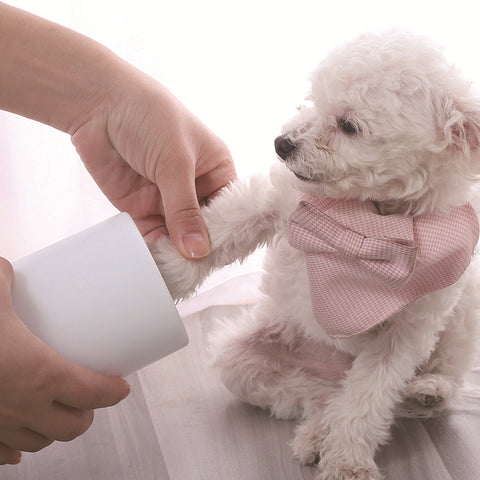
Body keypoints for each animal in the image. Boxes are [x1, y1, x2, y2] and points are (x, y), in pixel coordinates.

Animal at [152, 31, 480, 480]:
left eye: (349, 126)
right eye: (312, 99)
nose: (281, 143)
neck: (370, 221)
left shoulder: (408, 329)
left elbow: (367, 398)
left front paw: (347, 461)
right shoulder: (279, 200)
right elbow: (223, 227)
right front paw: (166, 272)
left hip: (464, 315)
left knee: (394, 383)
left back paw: (427, 391)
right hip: (242, 360)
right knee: (317, 394)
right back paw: (315, 432)